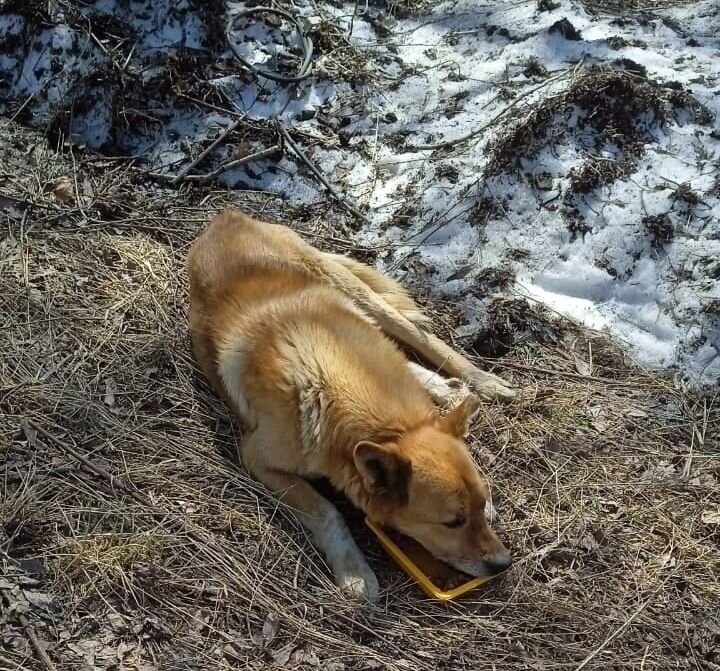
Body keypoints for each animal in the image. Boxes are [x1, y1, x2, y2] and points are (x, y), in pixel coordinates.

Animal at [186, 207, 512, 600]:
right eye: (453, 522)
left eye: (477, 505)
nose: (504, 564)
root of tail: (224, 217)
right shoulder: (256, 458)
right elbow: (328, 511)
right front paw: (354, 570)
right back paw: (448, 388)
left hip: (357, 295)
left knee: (423, 338)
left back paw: (477, 380)